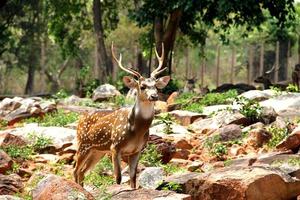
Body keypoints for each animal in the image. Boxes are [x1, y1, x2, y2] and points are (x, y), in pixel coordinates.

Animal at [73, 43, 170, 188]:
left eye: (156, 86)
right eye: (142, 86)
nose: (154, 96)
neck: (136, 131)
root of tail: (80, 119)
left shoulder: (137, 150)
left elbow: (133, 178)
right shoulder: (115, 147)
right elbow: (118, 177)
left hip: (97, 151)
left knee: (82, 171)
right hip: (83, 143)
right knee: (75, 169)